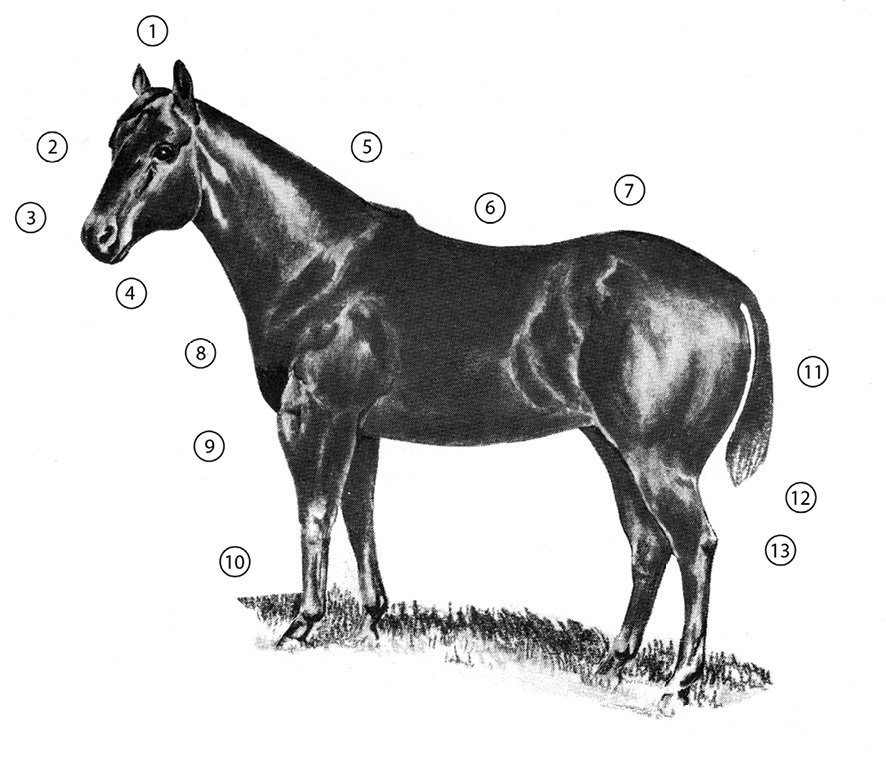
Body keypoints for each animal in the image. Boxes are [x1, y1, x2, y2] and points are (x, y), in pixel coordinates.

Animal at [81, 61, 772, 711]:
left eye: (165, 148)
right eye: (114, 141)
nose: (97, 235)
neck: (320, 264)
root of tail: (731, 288)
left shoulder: (313, 416)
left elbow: (316, 514)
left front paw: (302, 626)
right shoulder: (359, 427)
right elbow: (360, 515)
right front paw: (372, 621)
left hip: (658, 459)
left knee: (695, 545)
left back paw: (679, 680)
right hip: (614, 447)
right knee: (649, 546)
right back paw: (613, 662)